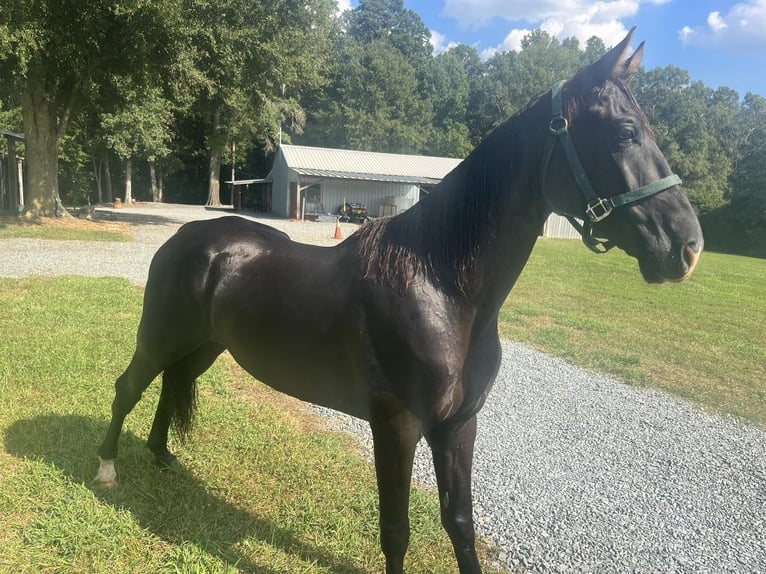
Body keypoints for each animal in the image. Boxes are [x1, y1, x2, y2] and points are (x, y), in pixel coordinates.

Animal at [99, 31, 704, 574]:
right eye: (625, 132)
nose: (688, 247)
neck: (442, 290)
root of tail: (187, 238)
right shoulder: (395, 427)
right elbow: (396, 531)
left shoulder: (459, 426)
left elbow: (460, 522)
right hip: (160, 338)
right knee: (129, 387)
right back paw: (108, 470)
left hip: (205, 346)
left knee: (173, 384)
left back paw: (163, 456)